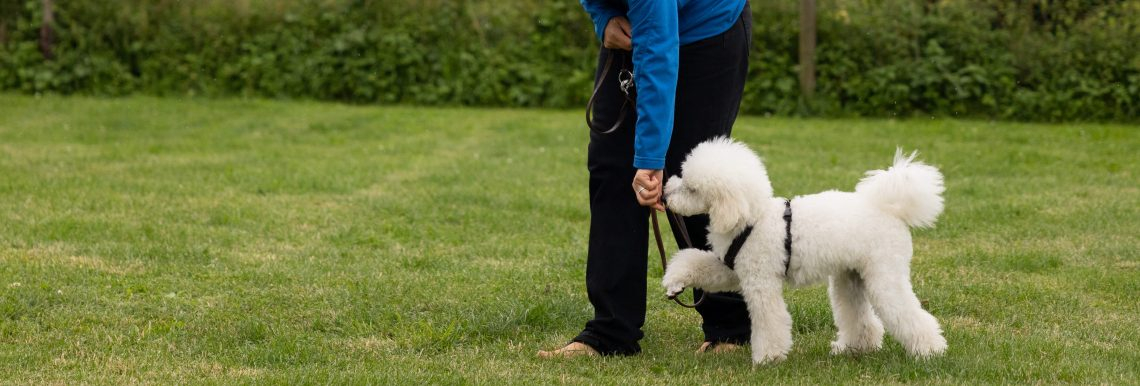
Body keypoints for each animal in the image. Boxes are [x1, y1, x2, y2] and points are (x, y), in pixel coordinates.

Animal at [661, 138, 943, 366]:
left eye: (692, 188)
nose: (664, 196)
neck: (751, 217)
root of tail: (890, 209)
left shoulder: (760, 281)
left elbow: (770, 321)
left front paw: (768, 359)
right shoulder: (731, 269)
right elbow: (697, 263)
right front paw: (674, 280)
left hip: (885, 275)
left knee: (908, 313)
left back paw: (930, 352)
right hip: (851, 277)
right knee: (860, 317)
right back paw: (853, 348)